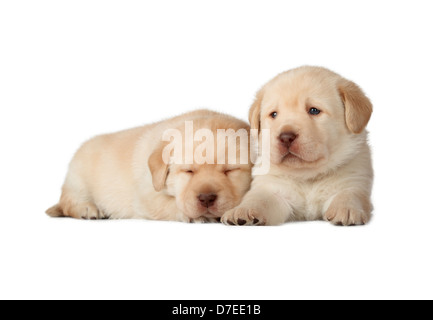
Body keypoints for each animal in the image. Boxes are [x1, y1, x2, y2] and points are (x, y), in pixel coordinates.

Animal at [45, 110, 251, 222]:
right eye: (188, 171)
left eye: (230, 170)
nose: (206, 198)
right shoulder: (146, 195)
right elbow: (170, 204)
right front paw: (198, 216)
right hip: (77, 179)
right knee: (68, 201)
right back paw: (87, 209)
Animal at [221, 67, 372, 228]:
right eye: (274, 114)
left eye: (314, 110)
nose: (286, 137)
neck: (307, 176)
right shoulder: (273, 189)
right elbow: (258, 198)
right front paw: (242, 210)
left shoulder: (354, 178)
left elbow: (349, 193)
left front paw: (346, 209)